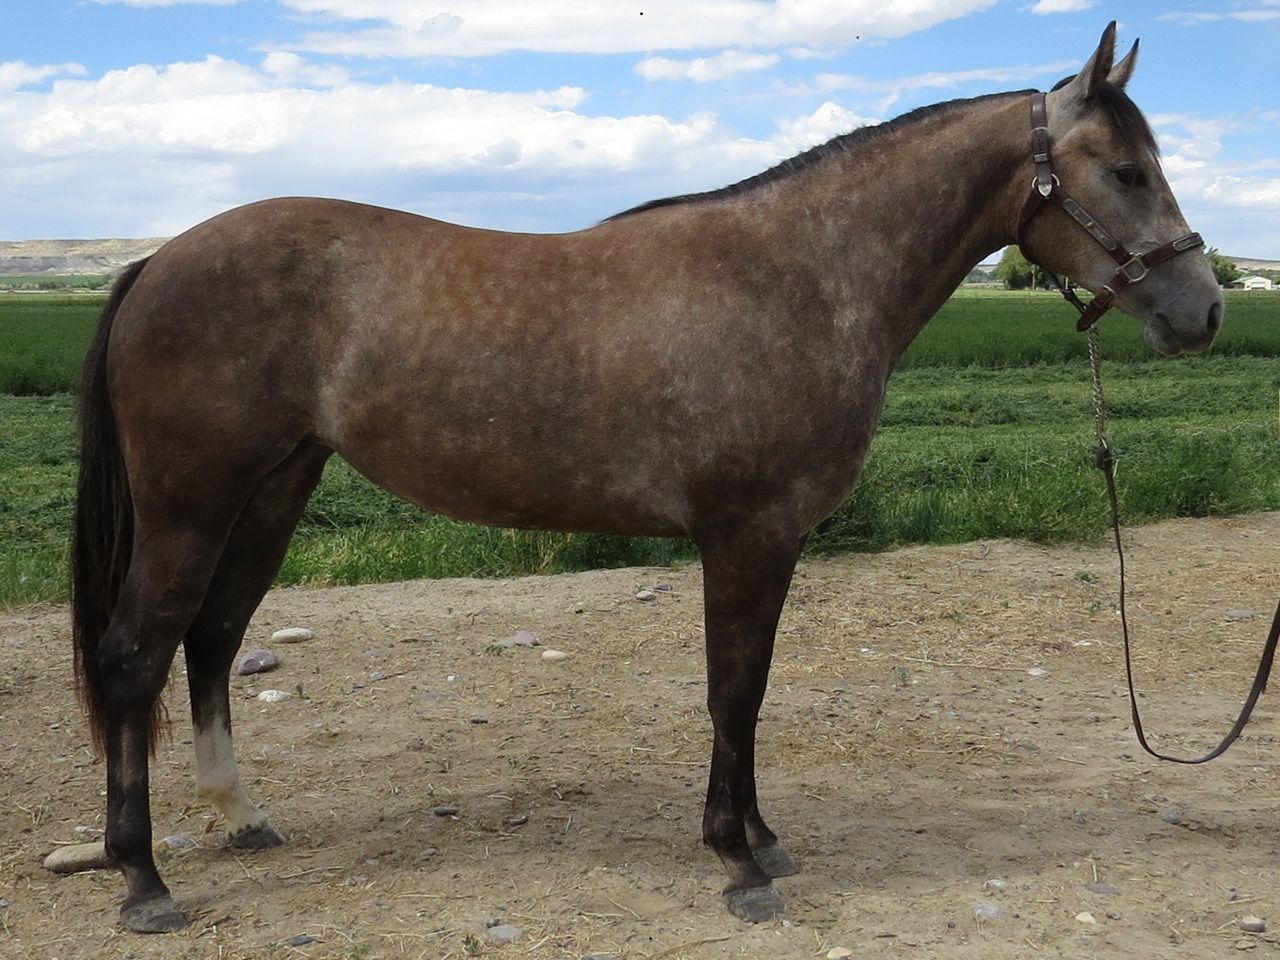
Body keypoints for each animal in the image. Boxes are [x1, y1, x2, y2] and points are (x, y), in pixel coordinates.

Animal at [70, 22, 1222, 932]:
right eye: (1125, 172)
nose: (1204, 309)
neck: (802, 277)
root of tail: (157, 261)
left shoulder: (768, 542)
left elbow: (749, 691)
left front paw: (760, 835)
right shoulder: (746, 535)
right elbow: (732, 688)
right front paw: (736, 861)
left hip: (272, 490)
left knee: (212, 640)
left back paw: (241, 817)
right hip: (191, 504)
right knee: (136, 657)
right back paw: (144, 882)